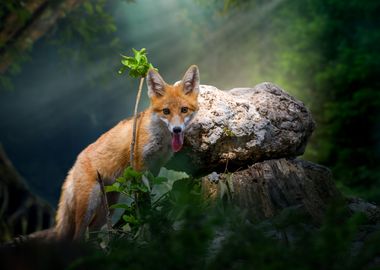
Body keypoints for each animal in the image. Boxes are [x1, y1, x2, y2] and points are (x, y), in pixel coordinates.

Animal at [55, 66, 202, 240]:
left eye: (184, 110)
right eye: (166, 111)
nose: (177, 129)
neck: (160, 139)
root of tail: (75, 163)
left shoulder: (155, 167)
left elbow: (148, 193)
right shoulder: (139, 165)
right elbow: (144, 197)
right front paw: (146, 223)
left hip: (109, 204)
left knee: (94, 231)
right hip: (89, 205)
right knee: (78, 236)